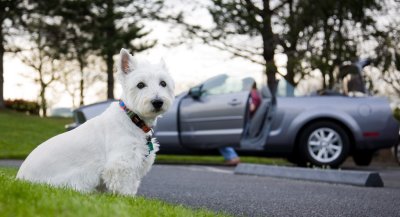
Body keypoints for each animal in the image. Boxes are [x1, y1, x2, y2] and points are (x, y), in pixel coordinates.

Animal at [16, 48, 175, 196]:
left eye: (163, 83)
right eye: (140, 85)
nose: (157, 102)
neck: (133, 119)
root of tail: (19, 177)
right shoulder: (121, 163)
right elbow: (125, 189)